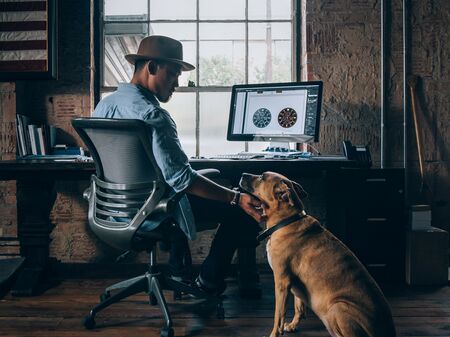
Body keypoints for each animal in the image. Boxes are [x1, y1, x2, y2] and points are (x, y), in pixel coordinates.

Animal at [239, 172, 394, 334]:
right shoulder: (295, 285)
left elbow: (278, 317)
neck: (287, 220)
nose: (243, 174)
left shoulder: (282, 282)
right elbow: (299, 307)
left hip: (337, 307)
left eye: (262, 177)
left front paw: (274, 333)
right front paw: (293, 325)